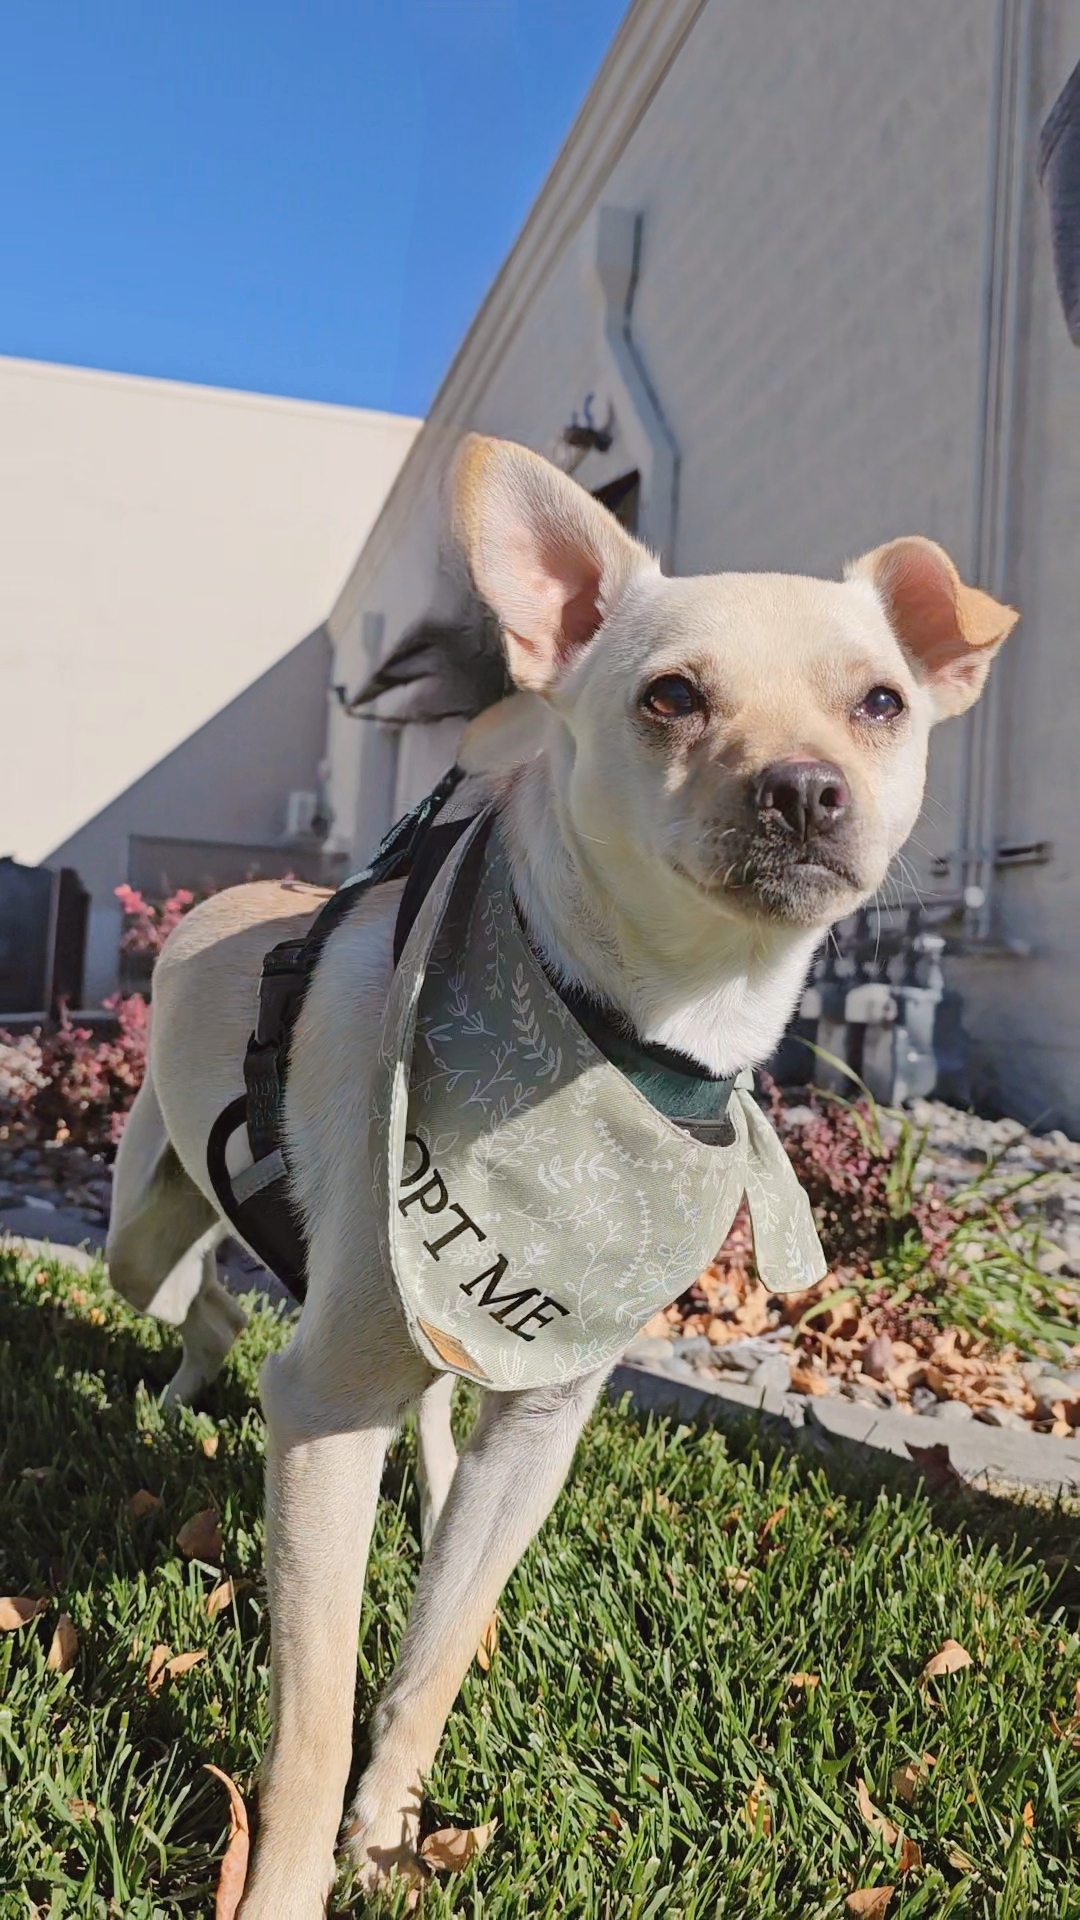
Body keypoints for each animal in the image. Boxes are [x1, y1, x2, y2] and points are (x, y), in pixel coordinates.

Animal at [105, 435, 1014, 1920]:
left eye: (882, 702)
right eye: (671, 696)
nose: (804, 787)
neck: (632, 1038)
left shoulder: (544, 1420)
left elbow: (433, 1654)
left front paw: (389, 1837)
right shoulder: (326, 1414)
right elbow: (310, 1720)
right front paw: (293, 1884)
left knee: (389, 1390)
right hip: (151, 1218)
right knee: (201, 1291)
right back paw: (196, 1368)